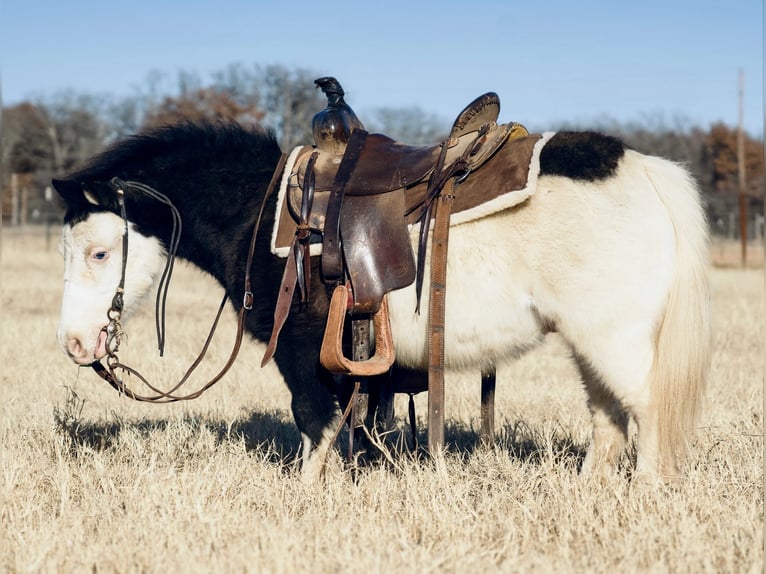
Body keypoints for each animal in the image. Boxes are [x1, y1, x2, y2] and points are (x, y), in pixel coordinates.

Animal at [54, 121, 712, 486]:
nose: (76, 344)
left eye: (98, 252)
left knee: (645, 407)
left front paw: (312, 494)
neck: (260, 213)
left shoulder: (301, 355)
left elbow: (315, 424)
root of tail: (643, 169)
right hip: (588, 343)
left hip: (614, 337)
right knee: (607, 415)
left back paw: (646, 491)